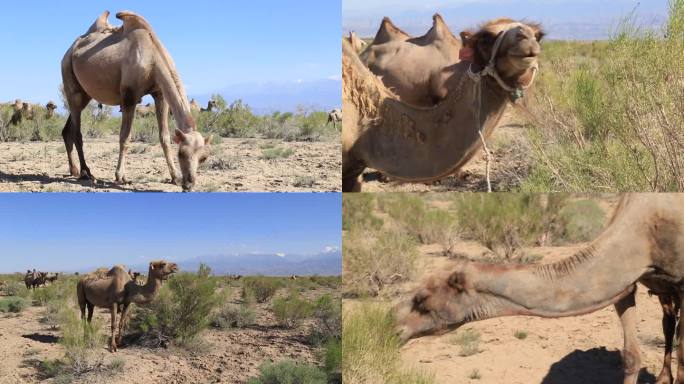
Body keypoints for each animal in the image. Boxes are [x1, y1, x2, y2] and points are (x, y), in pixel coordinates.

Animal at [61, 11, 211, 191]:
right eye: (181, 153)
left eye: (204, 157)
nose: (188, 184)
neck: (153, 56)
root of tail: (70, 51)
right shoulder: (129, 96)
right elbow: (125, 137)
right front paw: (121, 177)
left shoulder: (160, 94)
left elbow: (165, 137)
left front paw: (174, 177)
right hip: (70, 80)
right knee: (77, 132)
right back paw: (86, 173)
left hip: (84, 94)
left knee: (68, 129)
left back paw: (74, 170)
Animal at [392, 194, 684, 384]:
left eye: (421, 299)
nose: (393, 327)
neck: (643, 234)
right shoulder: (623, 283)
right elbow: (631, 356)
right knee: (667, 323)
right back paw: (662, 378)